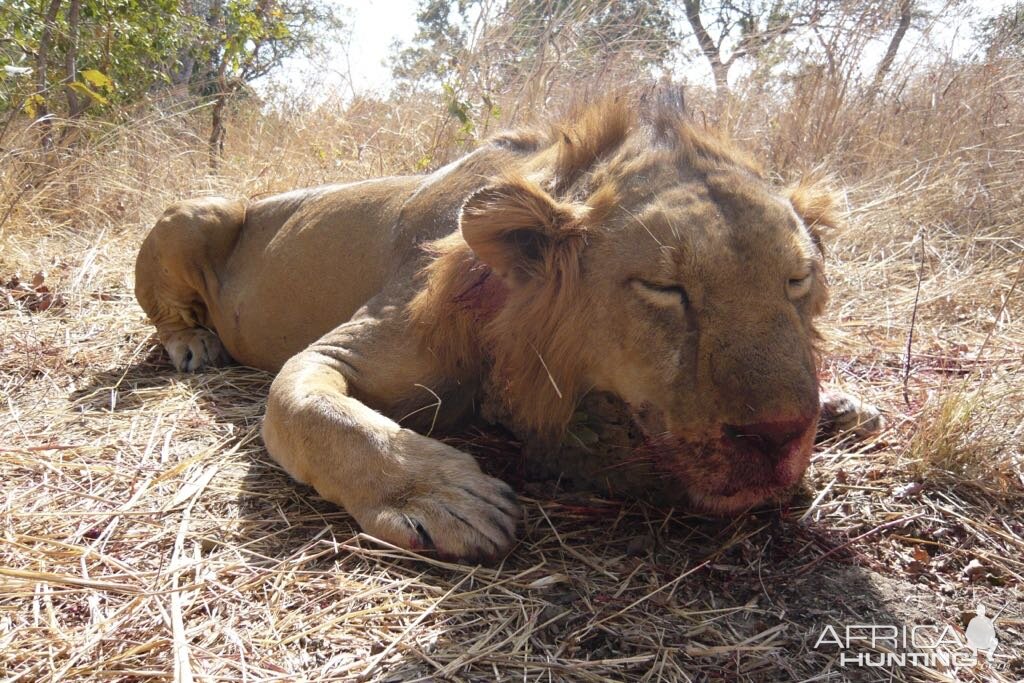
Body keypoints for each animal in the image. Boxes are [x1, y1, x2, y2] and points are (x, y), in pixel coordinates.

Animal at [134, 93, 880, 565]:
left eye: (797, 281)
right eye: (666, 290)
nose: (779, 436)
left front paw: (842, 405)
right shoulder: (331, 354)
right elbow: (315, 411)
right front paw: (450, 498)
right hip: (201, 209)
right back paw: (193, 343)